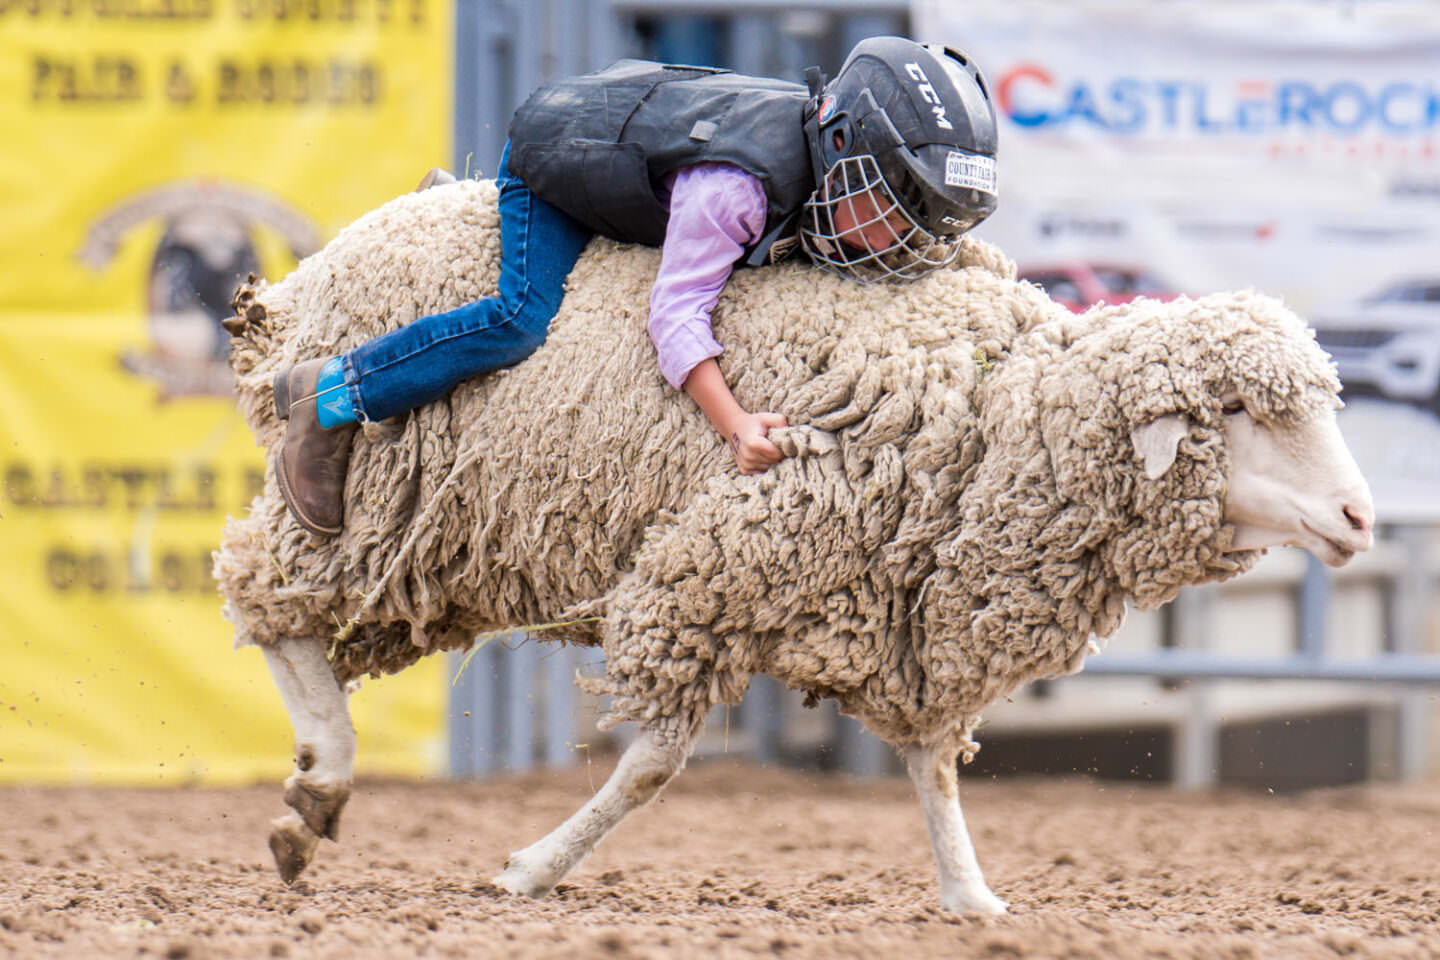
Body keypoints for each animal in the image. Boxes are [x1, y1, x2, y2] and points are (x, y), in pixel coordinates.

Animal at [213, 178, 1370, 915]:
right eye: (1243, 410)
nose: (1361, 517)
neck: (998, 409)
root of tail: (306, 285)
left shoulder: (909, 615)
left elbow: (932, 769)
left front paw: (974, 897)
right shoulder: (708, 574)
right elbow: (654, 766)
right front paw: (532, 869)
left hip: (434, 556)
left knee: (296, 622)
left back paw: (313, 790)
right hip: (372, 509)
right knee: (269, 604)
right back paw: (322, 779)